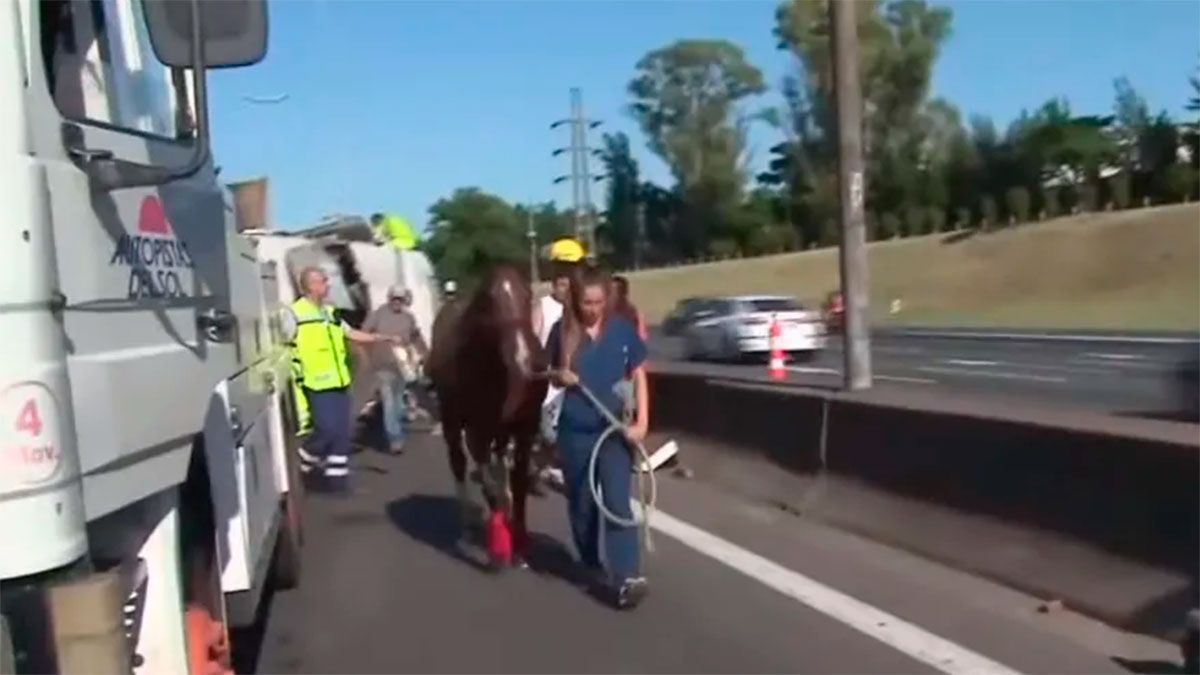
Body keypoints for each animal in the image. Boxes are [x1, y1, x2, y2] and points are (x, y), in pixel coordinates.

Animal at [427, 265, 548, 567]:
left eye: (528, 295)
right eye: (488, 302)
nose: (525, 359)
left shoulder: (525, 428)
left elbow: (517, 481)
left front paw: (520, 544)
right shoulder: (477, 430)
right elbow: (489, 484)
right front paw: (500, 545)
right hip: (453, 420)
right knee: (459, 463)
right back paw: (468, 531)